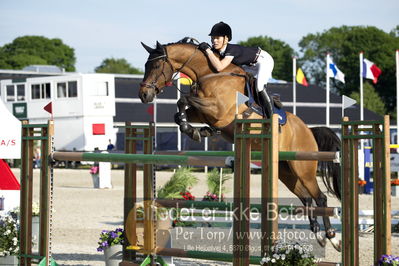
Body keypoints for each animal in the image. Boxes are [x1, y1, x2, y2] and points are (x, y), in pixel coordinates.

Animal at [139, 38, 342, 250]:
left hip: (303, 169)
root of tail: (308, 131)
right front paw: (198, 130)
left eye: (155, 65)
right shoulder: (203, 112)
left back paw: (332, 237)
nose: (143, 95)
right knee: (307, 198)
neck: (210, 73)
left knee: (320, 197)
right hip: (286, 171)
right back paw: (318, 234)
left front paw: (197, 130)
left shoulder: (218, 109)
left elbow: (184, 99)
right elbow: (180, 111)